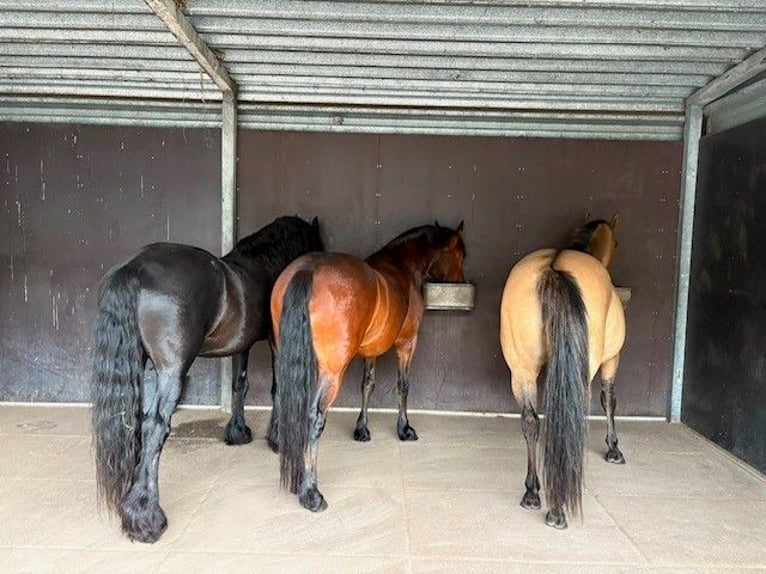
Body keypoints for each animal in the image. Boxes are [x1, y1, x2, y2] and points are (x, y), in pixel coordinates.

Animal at [91, 215, 323, 543]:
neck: (265, 262)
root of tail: (135, 268)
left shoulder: (242, 345)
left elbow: (240, 385)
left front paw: (238, 432)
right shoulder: (275, 342)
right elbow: (278, 388)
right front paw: (276, 437)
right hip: (172, 370)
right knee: (155, 426)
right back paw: (146, 517)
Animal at [269, 221, 465, 512]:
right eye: (461, 255)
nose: (460, 280)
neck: (402, 265)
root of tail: (307, 270)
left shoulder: (371, 351)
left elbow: (368, 385)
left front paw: (362, 429)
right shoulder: (407, 344)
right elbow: (403, 386)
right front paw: (404, 429)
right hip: (332, 372)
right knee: (314, 417)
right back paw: (311, 493)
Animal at [499, 215, 626, 530]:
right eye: (617, 242)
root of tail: (553, 268)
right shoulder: (612, 359)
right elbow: (609, 400)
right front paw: (614, 449)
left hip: (521, 370)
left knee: (531, 422)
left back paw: (532, 493)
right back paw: (557, 509)